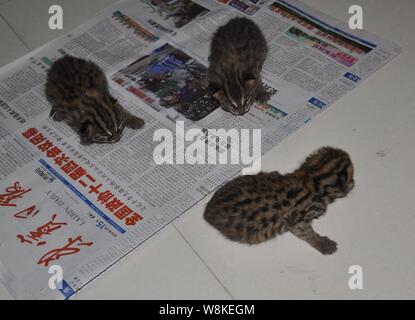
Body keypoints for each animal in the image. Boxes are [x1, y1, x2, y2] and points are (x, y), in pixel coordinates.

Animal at [204, 148, 354, 255]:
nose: (354, 183)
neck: (312, 178)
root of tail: (207, 213)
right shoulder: (298, 221)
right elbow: (307, 233)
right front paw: (322, 243)